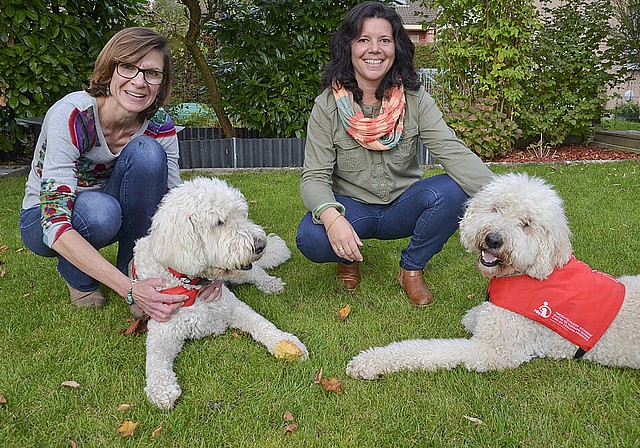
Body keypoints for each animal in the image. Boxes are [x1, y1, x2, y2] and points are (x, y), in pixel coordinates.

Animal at [131, 177, 306, 408]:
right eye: (219, 222)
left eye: (242, 214)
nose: (260, 244)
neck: (191, 283)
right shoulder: (162, 330)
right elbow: (155, 359)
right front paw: (161, 389)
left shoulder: (234, 308)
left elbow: (262, 324)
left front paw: (286, 342)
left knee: (257, 273)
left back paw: (270, 284)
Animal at [348, 173, 636, 380]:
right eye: (497, 208)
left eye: (526, 224)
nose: (493, 239)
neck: (528, 273)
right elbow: (474, 316)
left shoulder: (495, 351)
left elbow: (427, 349)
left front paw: (369, 362)